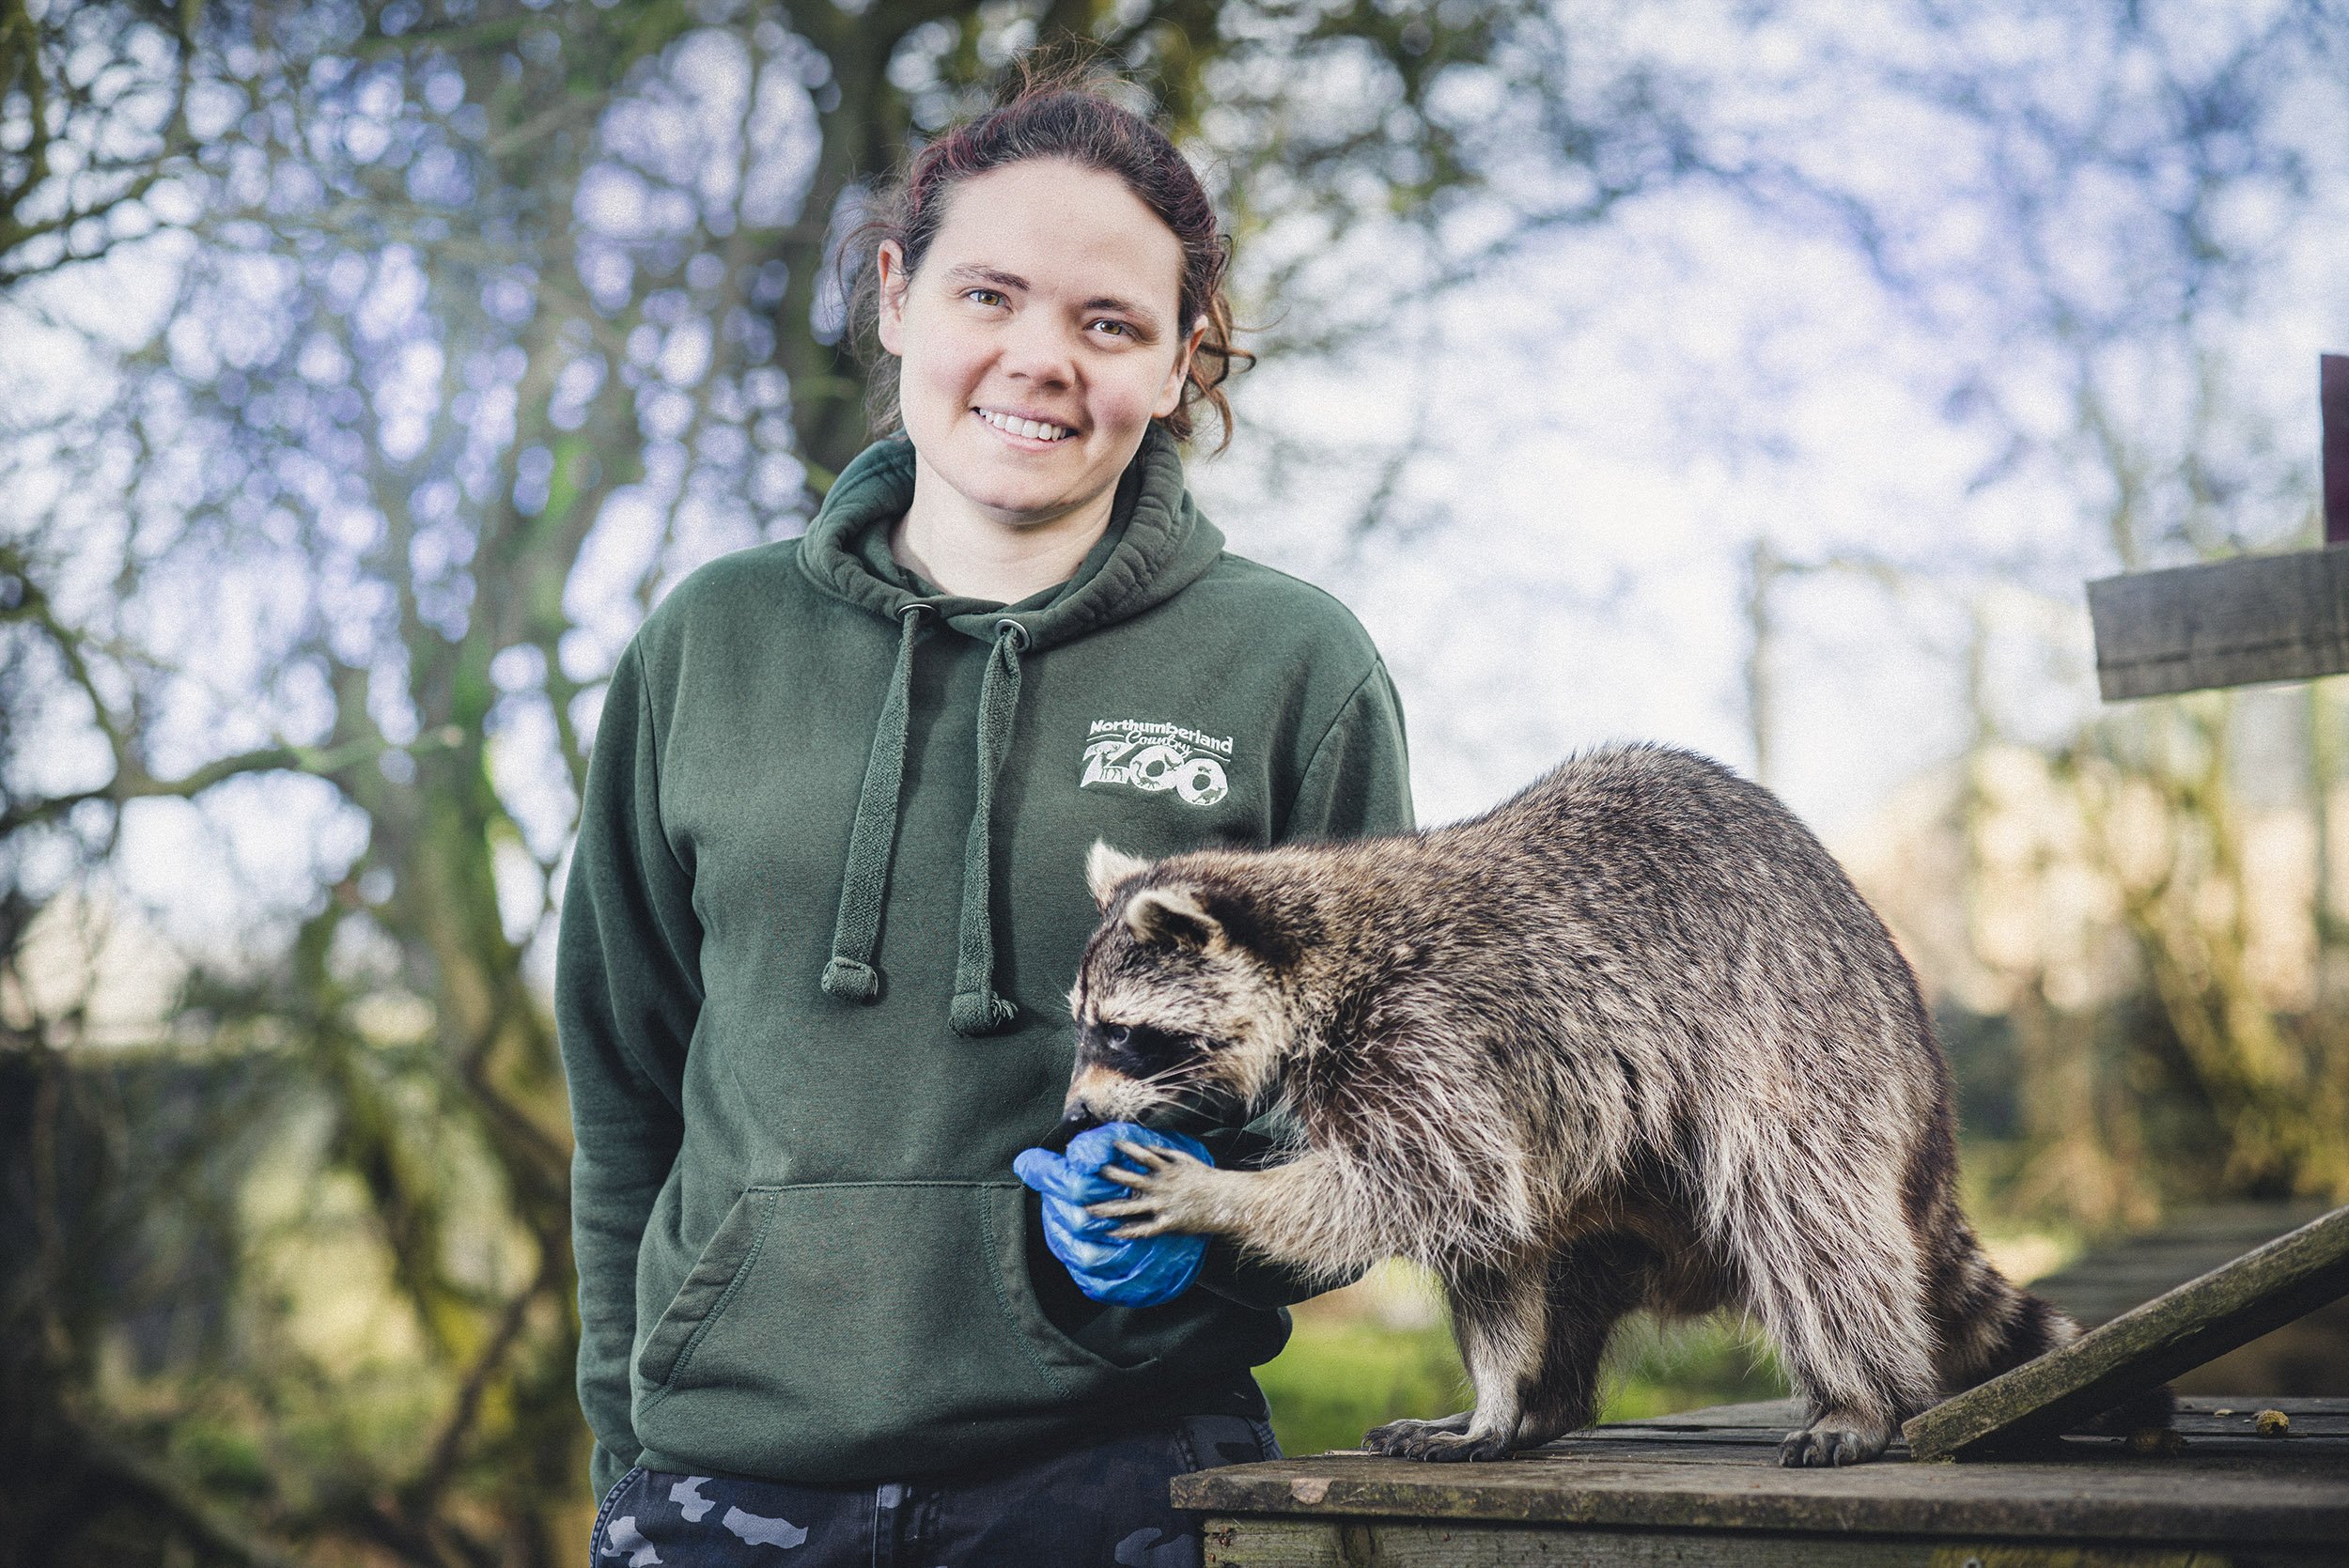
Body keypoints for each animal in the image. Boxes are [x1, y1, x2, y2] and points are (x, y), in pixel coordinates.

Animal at [1066, 741, 2161, 1465]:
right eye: (1083, 1021)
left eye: (1121, 1031)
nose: (1075, 1116)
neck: (1325, 950)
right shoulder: (1469, 1079)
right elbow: (1489, 1241)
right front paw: (1496, 1394)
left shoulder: (1430, 1034)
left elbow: (1439, 1188)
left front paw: (1220, 1199)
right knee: (1573, 1249)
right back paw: (1547, 1400)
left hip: (1814, 1050)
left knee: (1803, 1215)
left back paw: (1860, 1391)